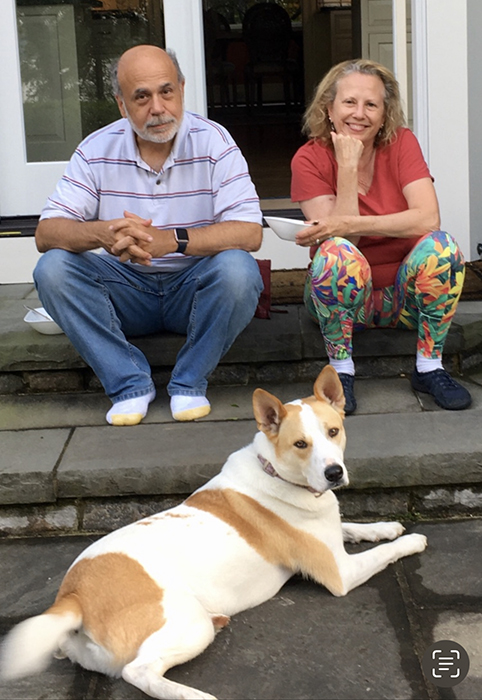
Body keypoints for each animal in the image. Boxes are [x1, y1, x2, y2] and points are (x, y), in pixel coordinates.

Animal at [0, 366, 430, 700]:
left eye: (334, 431)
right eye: (300, 443)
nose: (334, 473)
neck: (276, 473)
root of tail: (71, 595)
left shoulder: (331, 533)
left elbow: (352, 526)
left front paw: (386, 526)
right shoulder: (341, 573)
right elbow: (383, 552)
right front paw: (410, 540)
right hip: (189, 625)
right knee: (138, 672)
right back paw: (193, 695)